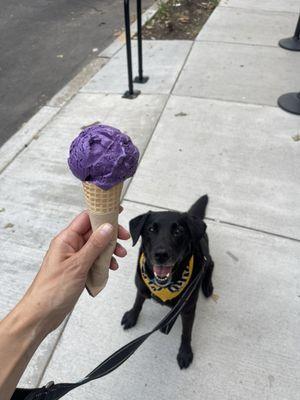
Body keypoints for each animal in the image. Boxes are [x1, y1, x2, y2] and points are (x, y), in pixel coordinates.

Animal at [120, 195, 214, 368]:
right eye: (151, 229)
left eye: (178, 231)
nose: (161, 254)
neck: (166, 286)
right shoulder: (142, 288)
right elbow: (137, 303)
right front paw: (131, 317)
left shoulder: (188, 309)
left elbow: (186, 333)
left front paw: (185, 352)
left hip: (206, 255)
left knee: (210, 264)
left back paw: (207, 286)